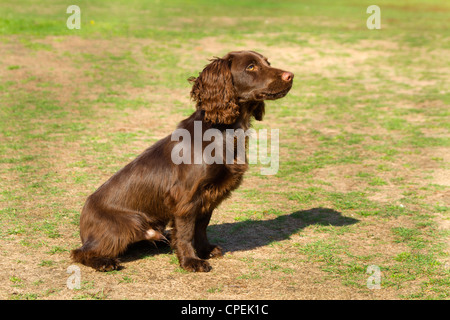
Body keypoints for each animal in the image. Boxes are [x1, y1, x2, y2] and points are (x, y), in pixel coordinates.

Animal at [71, 51, 292, 272]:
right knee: (80, 252)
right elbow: (186, 232)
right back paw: (104, 262)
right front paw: (191, 261)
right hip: (131, 222)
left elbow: (201, 227)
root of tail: (83, 219)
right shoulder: (187, 196)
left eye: (267, 62)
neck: (223, 130)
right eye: (251, 67)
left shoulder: (209, 194)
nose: (290, 75)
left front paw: (205, 250)